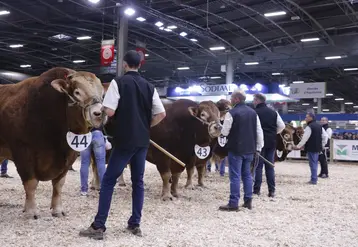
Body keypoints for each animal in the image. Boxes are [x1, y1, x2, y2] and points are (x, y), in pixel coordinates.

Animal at [0, 67, 106, 218]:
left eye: (102, 94)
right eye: (77, 92)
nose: (100, 113)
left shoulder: (70, 155)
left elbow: (58, 184)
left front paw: (57, 210)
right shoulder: (23, 152)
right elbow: (31, 184)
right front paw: (31, 211)